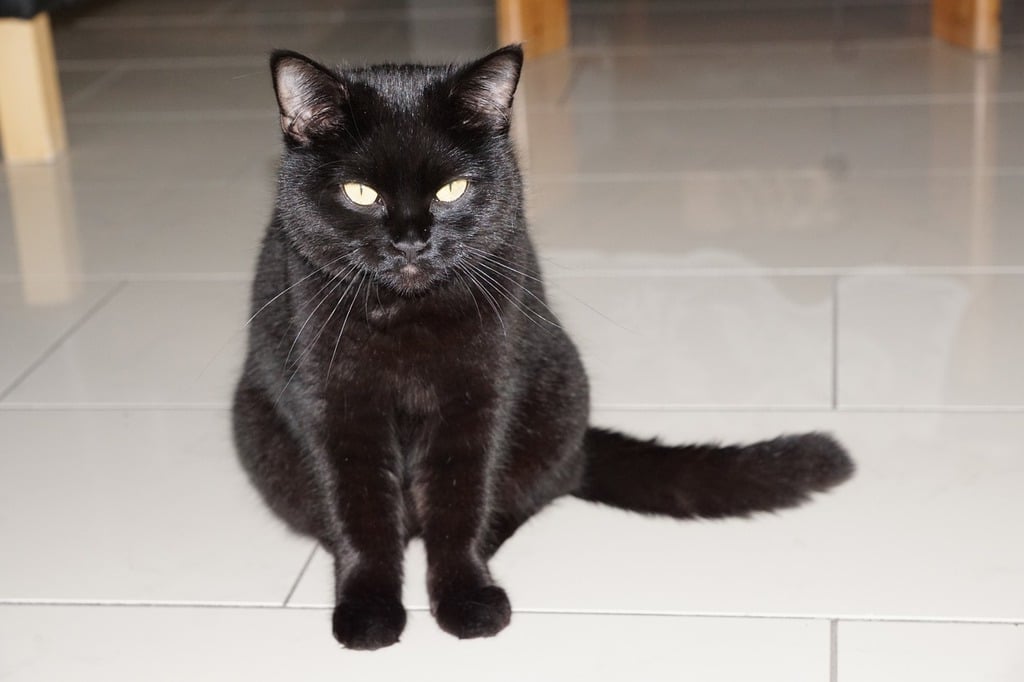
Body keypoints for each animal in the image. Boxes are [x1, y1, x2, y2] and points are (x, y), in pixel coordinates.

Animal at [234, 45, 856, 651]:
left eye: (452, 188)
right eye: (360, 193)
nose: (411, 240)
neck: (408, 316)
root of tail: (581, 445)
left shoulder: (480, 397)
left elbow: (461, 502)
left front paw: (466, 600)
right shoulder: (337, 406)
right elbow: (358, 511)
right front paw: (367, 611)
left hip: (558, 392)